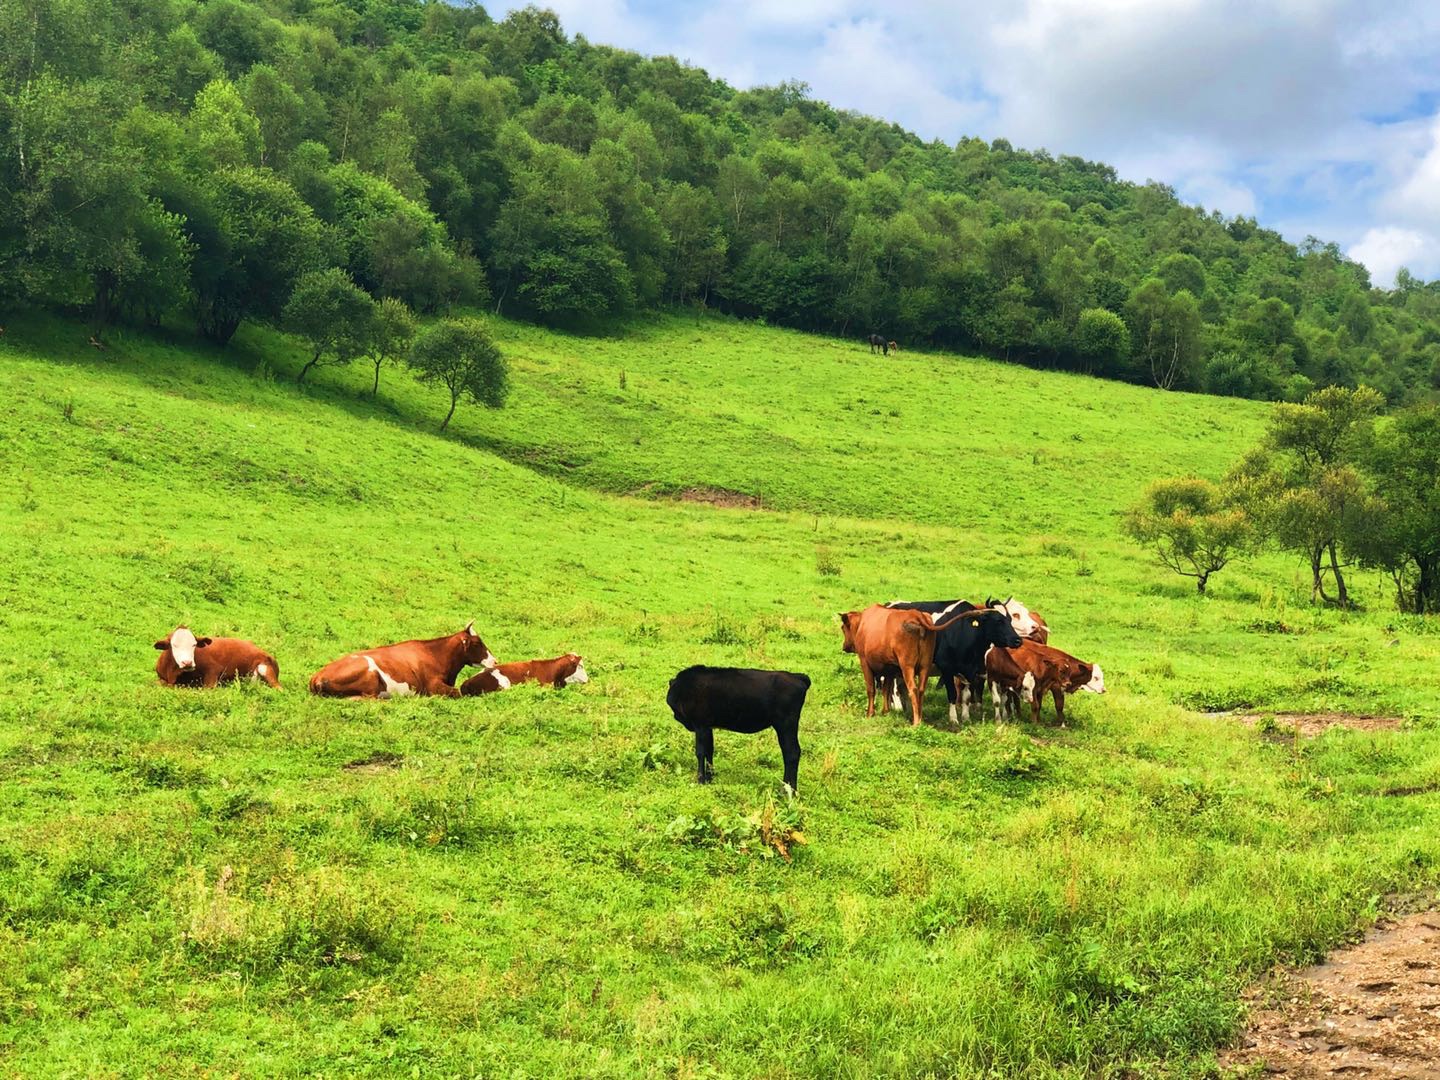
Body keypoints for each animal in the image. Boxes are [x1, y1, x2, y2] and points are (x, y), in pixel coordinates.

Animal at [306, 624, 498, 702]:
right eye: (477, 643)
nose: (495, 660)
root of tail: (316, 676)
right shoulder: (432, 686)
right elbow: (459, 692)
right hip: (370, 678)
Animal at [662, 668, 812, 794]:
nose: (676, 715)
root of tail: (798, 677)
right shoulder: (708, 727)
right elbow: (709, 751)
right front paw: (710, 778)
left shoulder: (700, 726)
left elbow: (700, 752)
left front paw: (701, 780)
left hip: (786, 725)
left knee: (791, 753)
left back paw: (788, 790)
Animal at [840, 610, 973, 728]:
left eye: (843, 628)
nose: (844, 646)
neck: (862, 624)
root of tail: (917, 615)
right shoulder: (890, 669)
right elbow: (886, 690)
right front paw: (885, 711)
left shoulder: (865, 663)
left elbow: (871, 690)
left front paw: (870, 714)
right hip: (925, 666)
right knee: (921, 690)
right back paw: (919, 718)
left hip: (907, 667)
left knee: (913, 689)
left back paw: (916, 722)